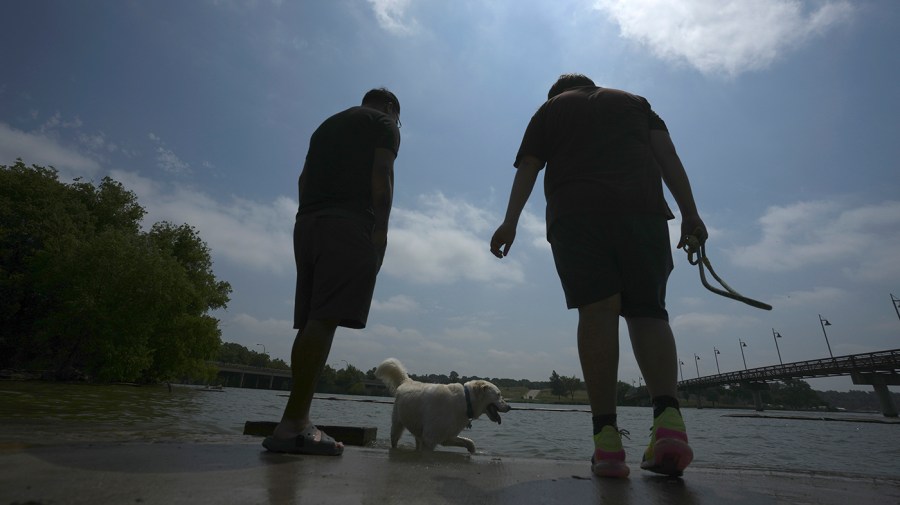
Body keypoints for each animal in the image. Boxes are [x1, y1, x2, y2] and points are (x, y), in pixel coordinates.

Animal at [374, 354, 512, 452]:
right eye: (498, 394)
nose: (509, 407)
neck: (465, 402)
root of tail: (407, 381)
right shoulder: (430, 439)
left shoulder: (447, 436)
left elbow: (469, 442)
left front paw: (472, 450)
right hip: (397, 425)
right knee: (395, 440)